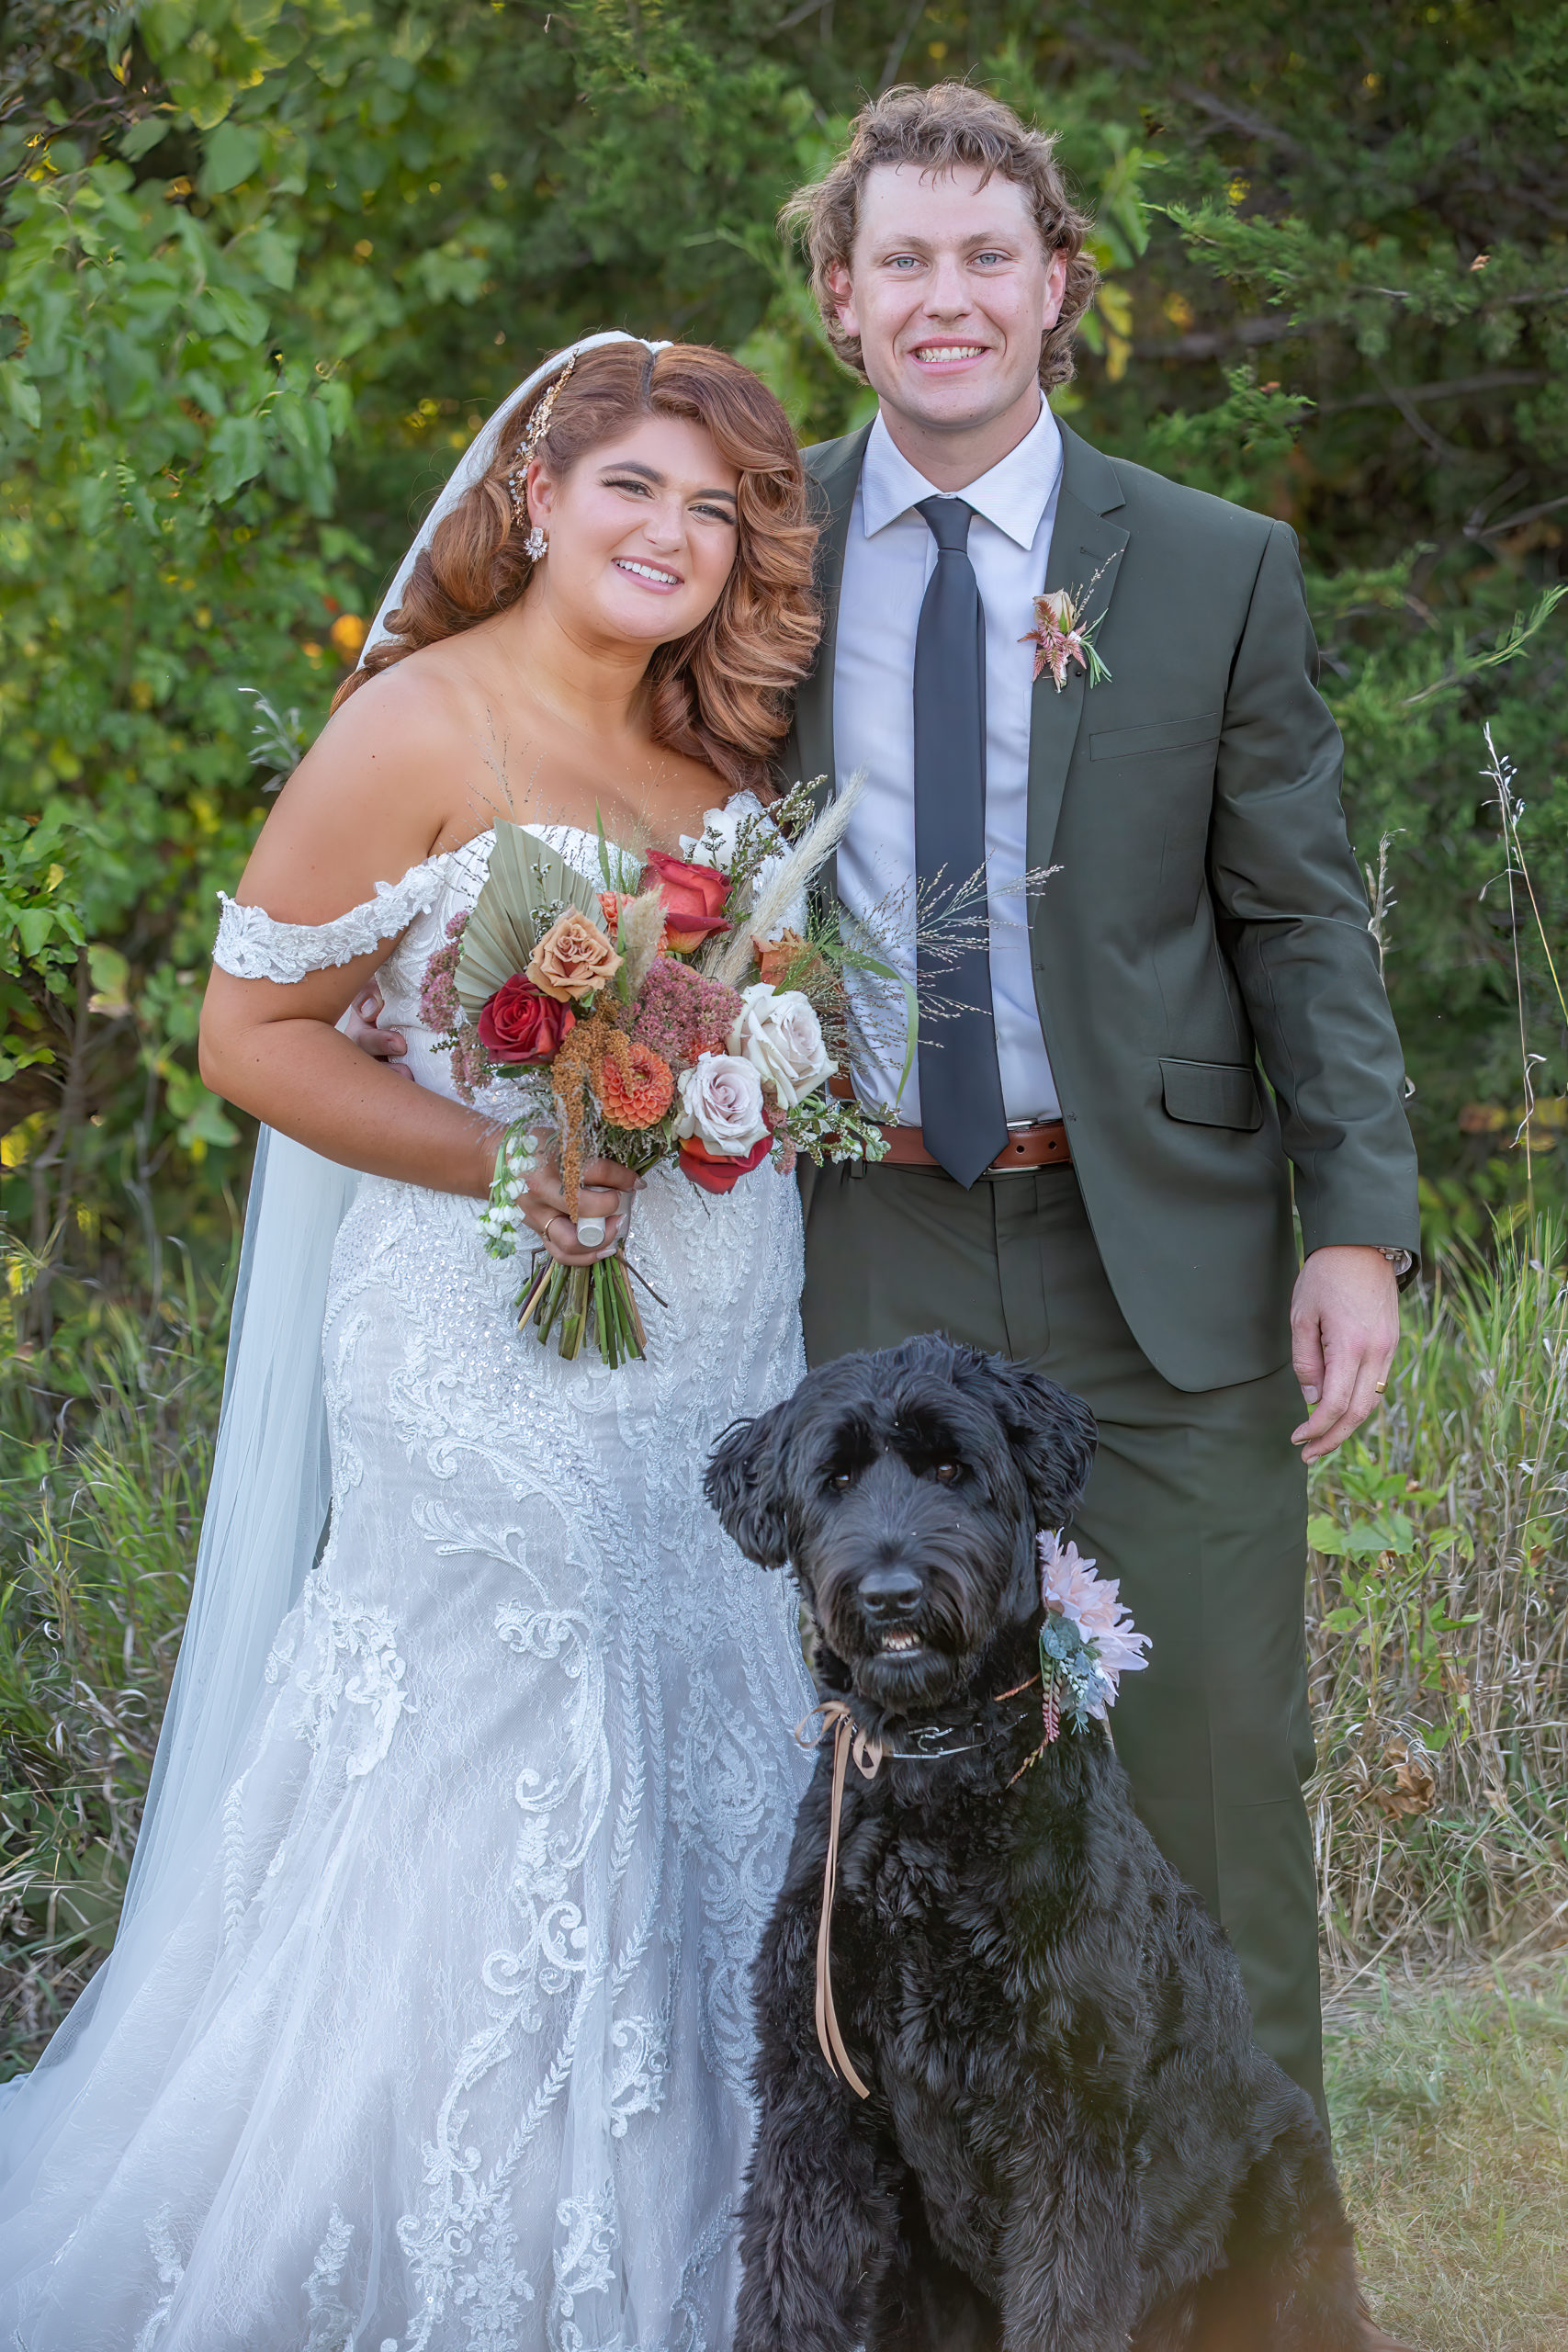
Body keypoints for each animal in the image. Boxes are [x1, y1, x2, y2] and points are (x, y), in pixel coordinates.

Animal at [705, 1345, 1363, 2352]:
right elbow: (787, 2283)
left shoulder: (1072, 2116)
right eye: (836, 1478)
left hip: (1290, 2199)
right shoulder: (814, 2093)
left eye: (950, 1467)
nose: (889, 1594)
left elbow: (1065, 2302)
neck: (933, 1782)